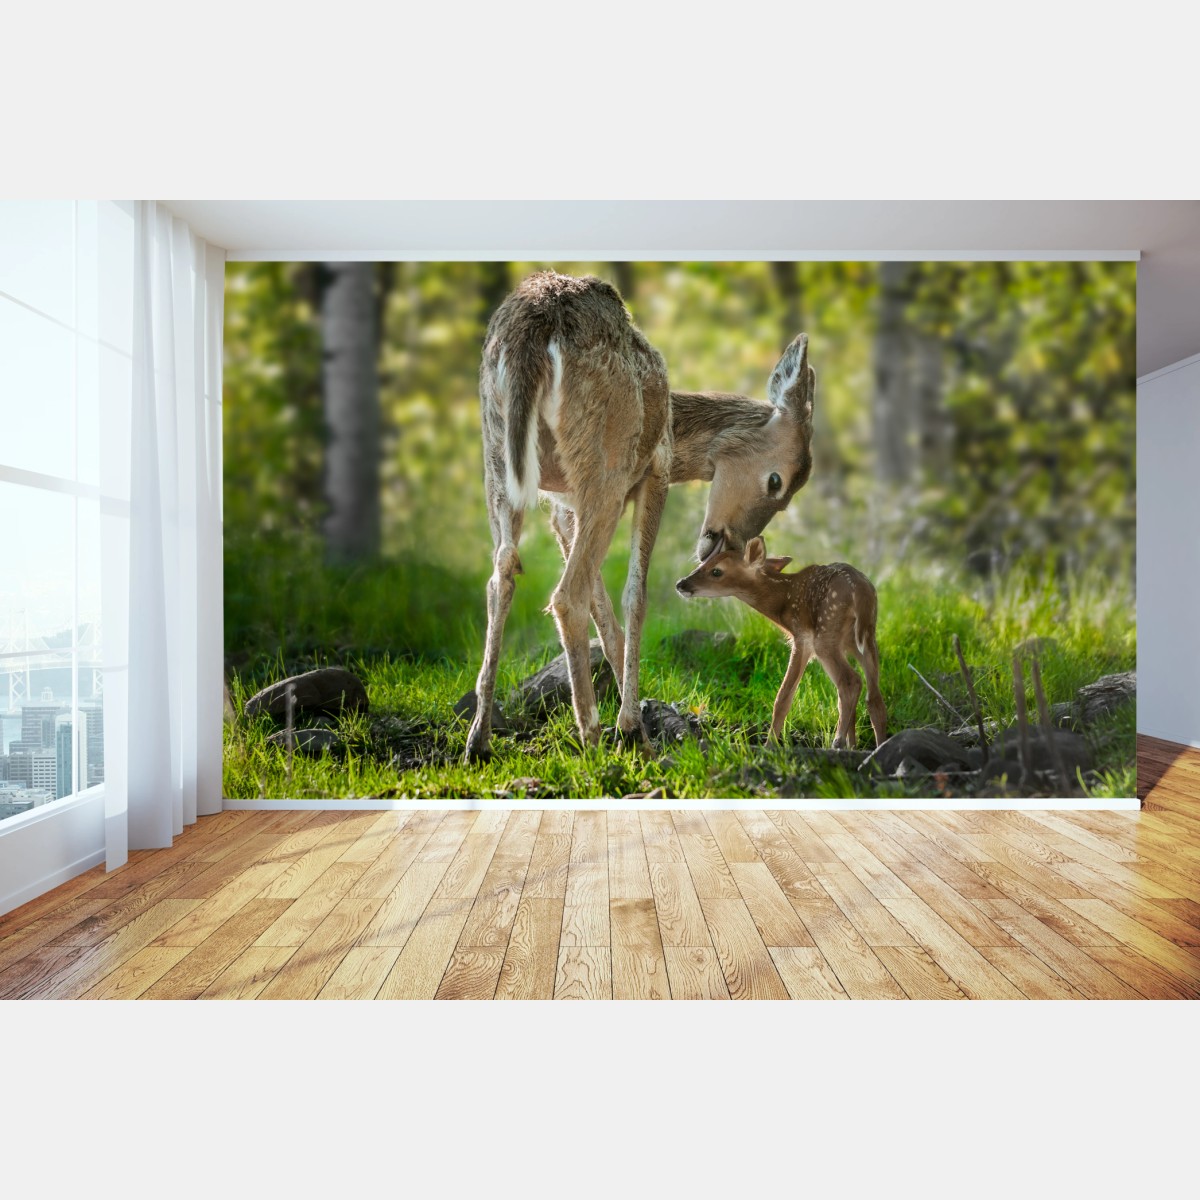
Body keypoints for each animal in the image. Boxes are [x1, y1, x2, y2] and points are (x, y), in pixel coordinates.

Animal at [465, 270, 816, 762]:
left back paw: (478, 738)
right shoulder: (656, 471)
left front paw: (639, 724)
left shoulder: (561, 507)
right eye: (777, 483)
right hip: (604, 462)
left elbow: (605, 609)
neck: (674, 426)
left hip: (497, 458)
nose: (725, 543)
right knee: (566, 595)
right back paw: (591, 737)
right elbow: (635, 595)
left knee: (502, 577)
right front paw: (633, 728)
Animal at [675, 537, 887, 749]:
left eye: (716, 571)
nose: (681, 583)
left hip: (826, 631)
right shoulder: (844, 644)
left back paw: (837, 741)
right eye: (703, 563)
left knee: (851, 681)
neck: (783, 602)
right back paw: (878, 744)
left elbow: (783, 697)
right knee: (874, 696)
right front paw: (853, 744)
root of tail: (860, 590)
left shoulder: (801, 638)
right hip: (866, 636)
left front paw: (769, 745)